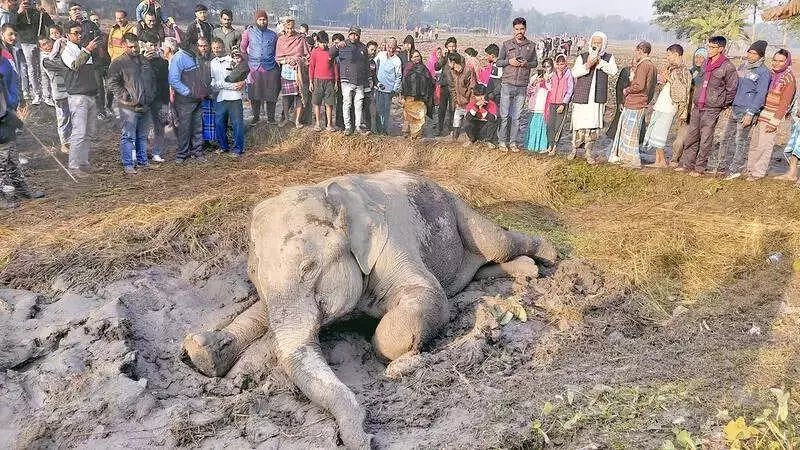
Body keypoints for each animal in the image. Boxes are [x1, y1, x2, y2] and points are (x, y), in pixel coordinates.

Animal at [181, 170, 557, 449]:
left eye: (309, 268)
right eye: (252, 275)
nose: (367, 438)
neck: (329, 195)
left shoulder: (390, 241)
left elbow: (429, 295)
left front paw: (396, 361)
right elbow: (262, 313)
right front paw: (202, 351)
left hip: (454, 205)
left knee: (497, 242)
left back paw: (547, 255)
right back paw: (527, 271)